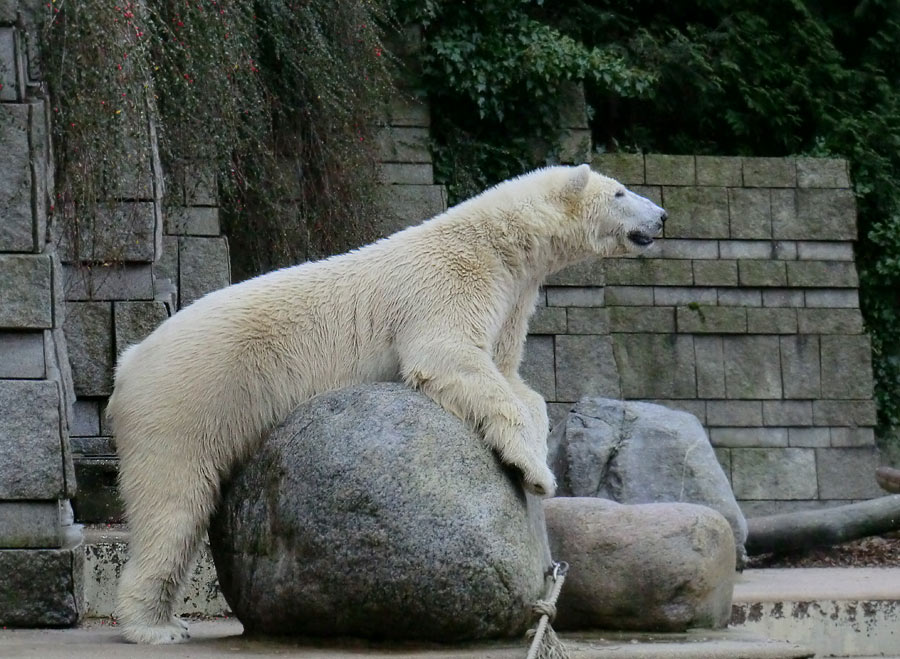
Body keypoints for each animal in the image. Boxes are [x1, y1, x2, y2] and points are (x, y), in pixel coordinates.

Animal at [109, 165, 664, 644]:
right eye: (619, 192)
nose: (661, 216)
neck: (497, 242)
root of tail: (128, 364)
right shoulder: (449, 281)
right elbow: (451, 357)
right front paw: (535, 473)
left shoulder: (511, 299)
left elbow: (513, 377)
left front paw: (538, 446)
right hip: (186, 402)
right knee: (173, 503)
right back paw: (156, 627)